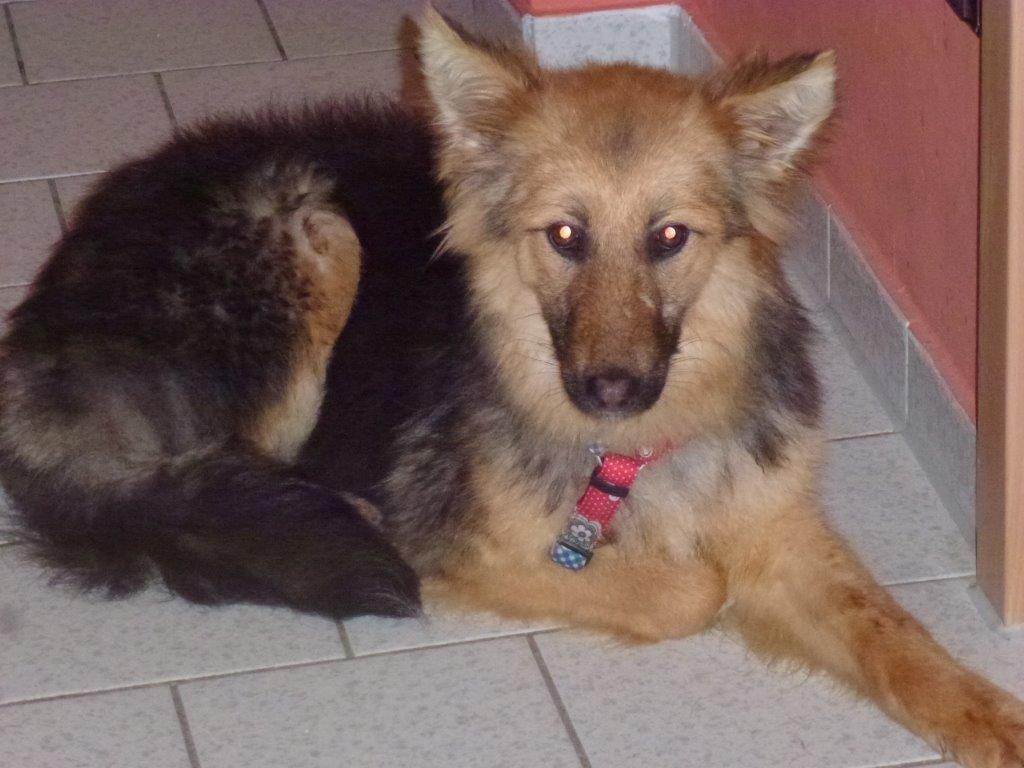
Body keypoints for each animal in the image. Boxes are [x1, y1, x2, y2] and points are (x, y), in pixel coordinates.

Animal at [1, 9, 1021, 766]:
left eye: (670, 237)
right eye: (565, 236)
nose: (611, 391)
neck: (632, 449)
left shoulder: (776, 523)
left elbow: (897, 638)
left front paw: (988, 716)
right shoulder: (483, 545)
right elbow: (690, 590)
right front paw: (687, 577)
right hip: (312, 230)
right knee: (198, 486)